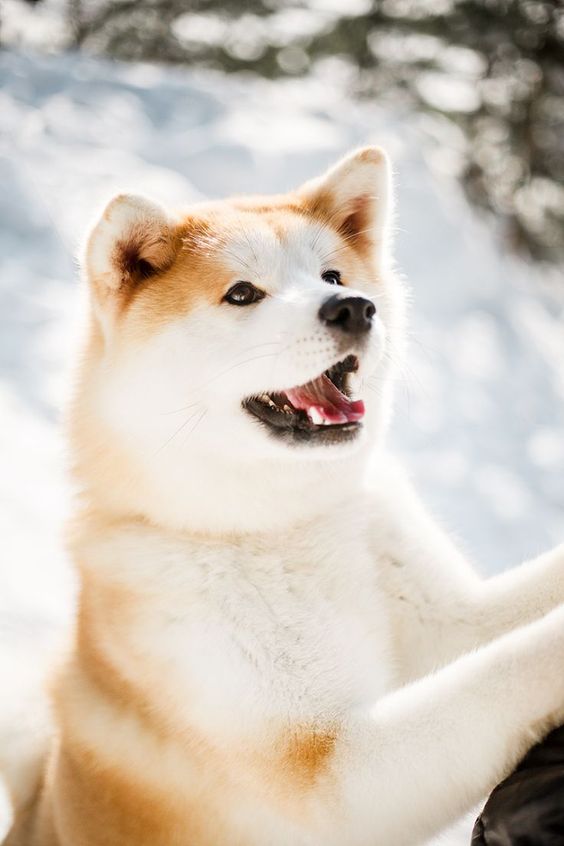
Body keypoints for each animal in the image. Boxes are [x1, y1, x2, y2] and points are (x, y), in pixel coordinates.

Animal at [3, 149, 564, 844]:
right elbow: (502, 673)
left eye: (333, 275)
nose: (354, 307)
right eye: (242, 293)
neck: (283, 525)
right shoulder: (329, 776)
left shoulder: (456, 623)